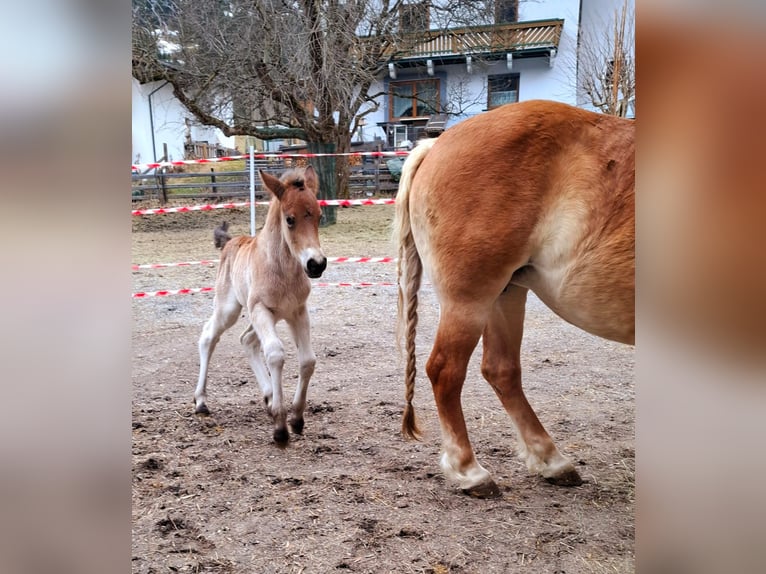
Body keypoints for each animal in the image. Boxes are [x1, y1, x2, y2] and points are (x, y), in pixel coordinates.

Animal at [194, 166, 327, 445]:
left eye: (320, 216)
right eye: (290, 219)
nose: (316, 264)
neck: (282, 269)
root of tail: (230, 242)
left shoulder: (297, 311)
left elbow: (307, 360)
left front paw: (296, 418)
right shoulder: (260, 310)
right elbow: (275, 354)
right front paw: (280, 427)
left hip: (270, 317)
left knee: (247, 340)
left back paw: (268, 396)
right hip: (230, 309)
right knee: (209, 336)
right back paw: (201, 401)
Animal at [394, 100, 634, 497]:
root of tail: (437, 145)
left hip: (506, 293)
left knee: (501, 370)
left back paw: (551, 460)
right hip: (471, 299)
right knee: (445, 369)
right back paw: (469, 470)